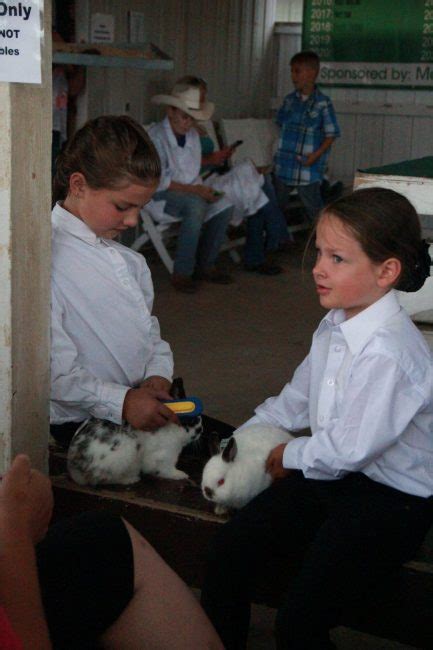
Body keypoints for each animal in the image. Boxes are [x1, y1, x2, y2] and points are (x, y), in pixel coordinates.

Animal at [67, 416, 202, 486]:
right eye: (192, 421)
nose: (201, 429)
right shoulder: (165, 456)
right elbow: (166, 469)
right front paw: (180, 475)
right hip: (124, 455)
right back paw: (131, 479)